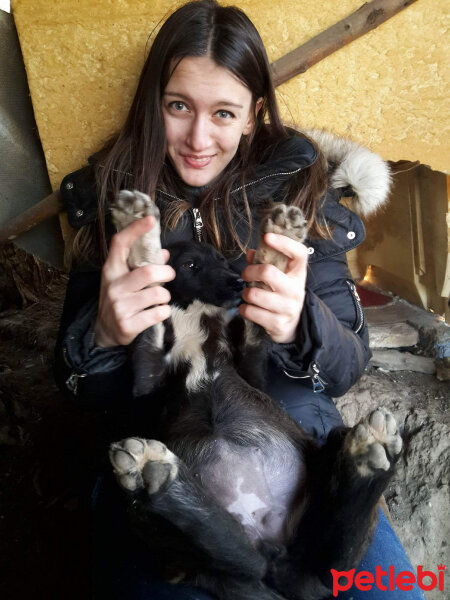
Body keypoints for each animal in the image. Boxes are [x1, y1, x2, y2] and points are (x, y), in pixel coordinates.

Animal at [108, 192, 400, 600]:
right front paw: (138, 230)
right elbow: (151, 311)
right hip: (149, 528)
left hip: (329, 456)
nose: (236, 284)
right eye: (192, 265)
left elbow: (255, 320)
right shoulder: (146, 380)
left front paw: (279, 245)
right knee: (243, 558)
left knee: (316, 564)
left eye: (224, 261)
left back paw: (368, 455)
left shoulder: (253, 369)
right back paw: (158, 475)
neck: (197, 315)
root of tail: (272, 549)